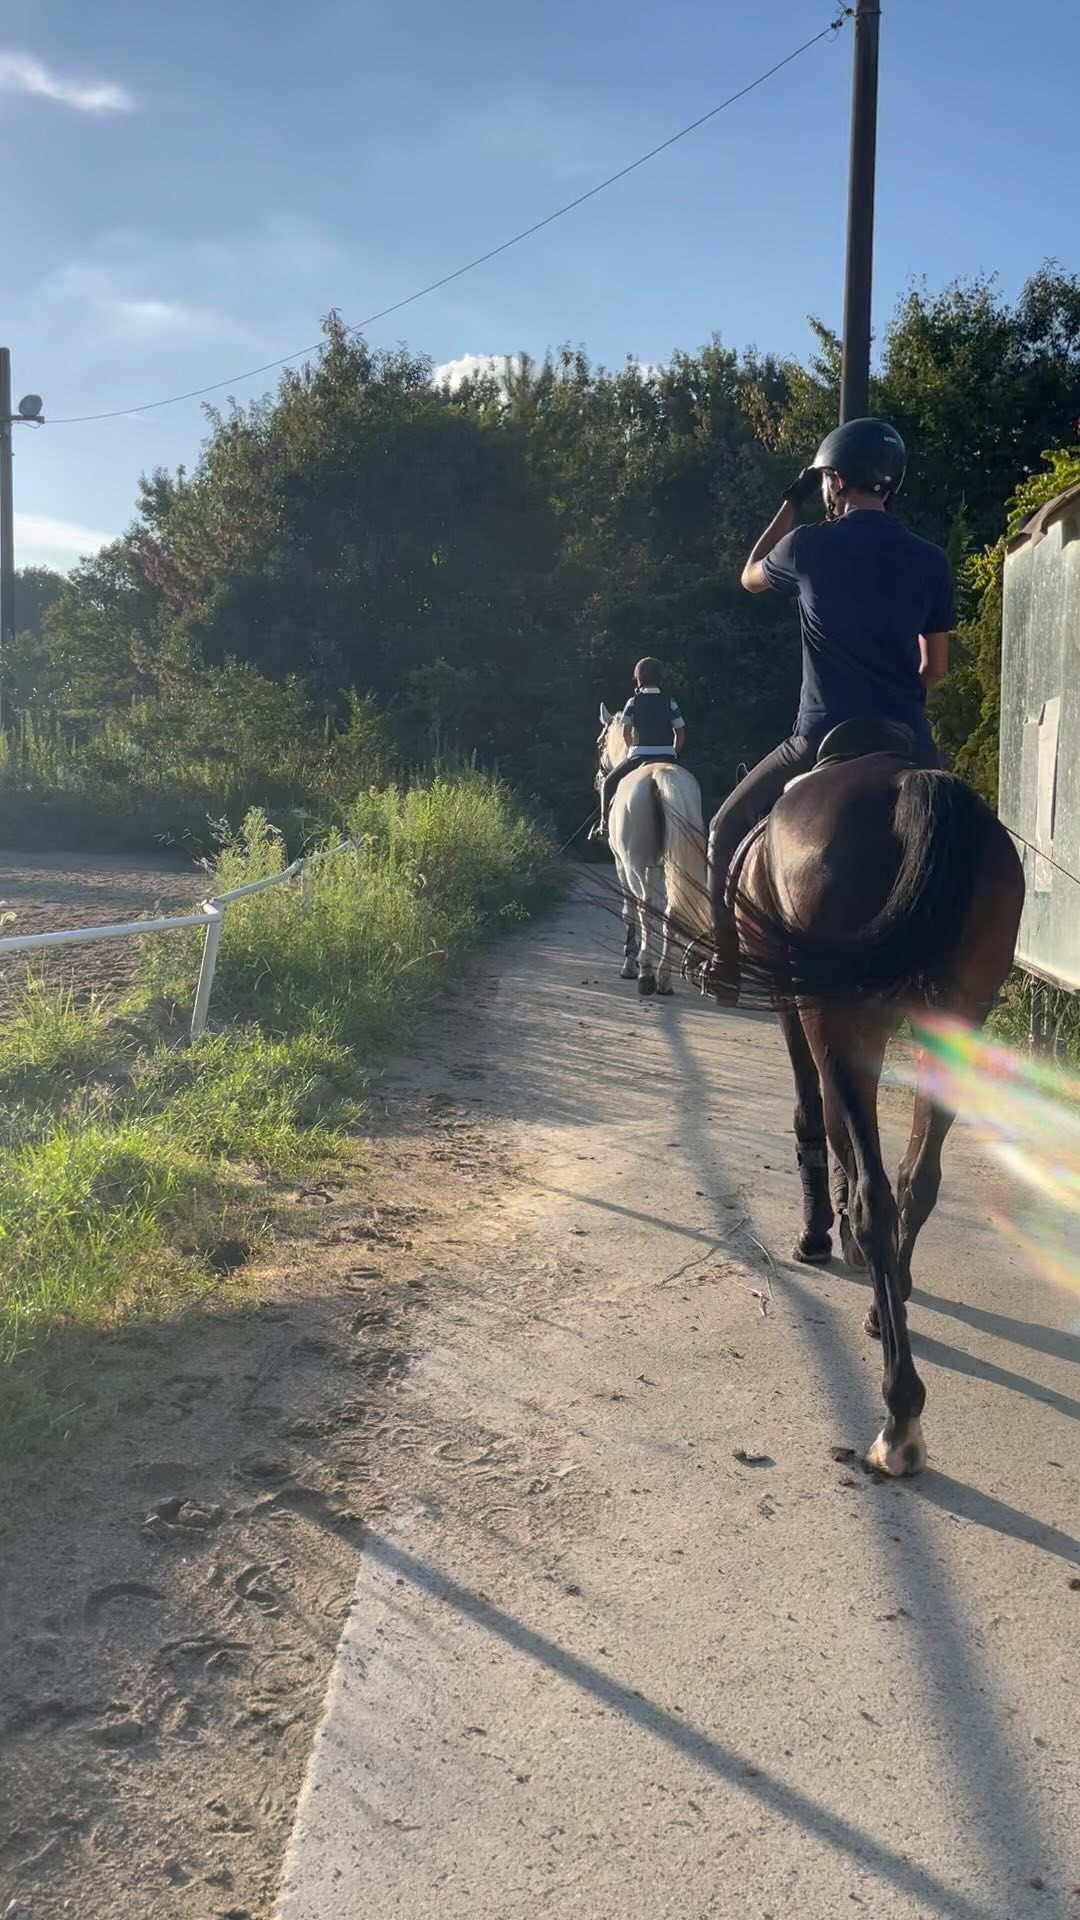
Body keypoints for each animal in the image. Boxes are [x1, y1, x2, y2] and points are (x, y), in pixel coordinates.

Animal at [591, 710, 711, 1006]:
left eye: (599, 744)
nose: (598, 780)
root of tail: (658, 777)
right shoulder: (655, 866)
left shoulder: (621, 865)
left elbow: (629, 910)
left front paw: (629, 964)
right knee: (670, 911)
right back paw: (664, 978)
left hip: (632, 863)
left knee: (645, 905)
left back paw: (646, 973)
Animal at [730, 725, 1014, 1474]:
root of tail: (907, 781)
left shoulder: (797, 1009)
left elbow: (813, 1117)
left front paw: (819, 1234)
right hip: (954, 1026)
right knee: (918, 1179)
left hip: (834, 1014)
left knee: (880, 1193)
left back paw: (900, 1416)